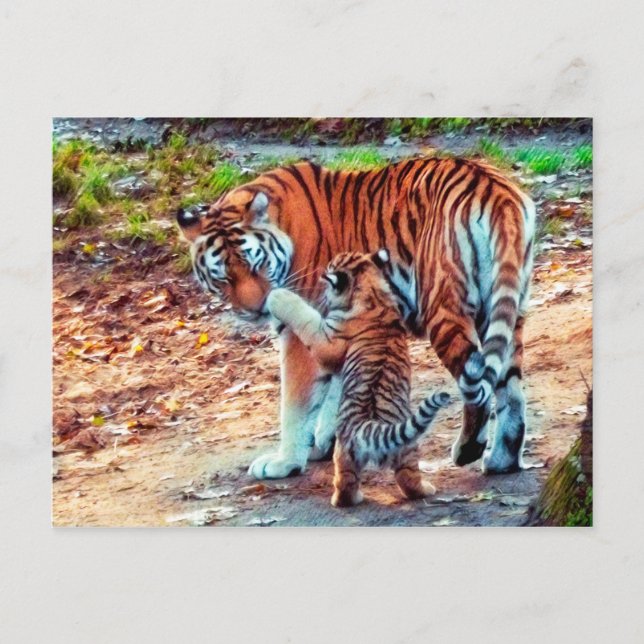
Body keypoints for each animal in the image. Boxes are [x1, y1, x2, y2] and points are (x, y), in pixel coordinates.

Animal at [176, 156, 535, 479]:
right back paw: (501, 460)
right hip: (507, 307)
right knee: (511, 389)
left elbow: (295, 403)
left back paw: (467, 450)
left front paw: (284, 462)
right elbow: (336, 391)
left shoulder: (302, 333)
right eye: (223, 277)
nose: (257, 307)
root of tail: (496, 190)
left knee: (477, 383)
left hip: (444, 308)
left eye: (256, 264)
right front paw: (323, 443)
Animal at [266, 249, 451, 506]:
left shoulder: (327, 340)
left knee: (351, 482)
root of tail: (371, 427)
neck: (372, 290)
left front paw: (278, 296)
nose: (322, 291)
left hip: (353, 452)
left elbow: (306, 317)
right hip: (399, 448)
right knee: (402, 478)